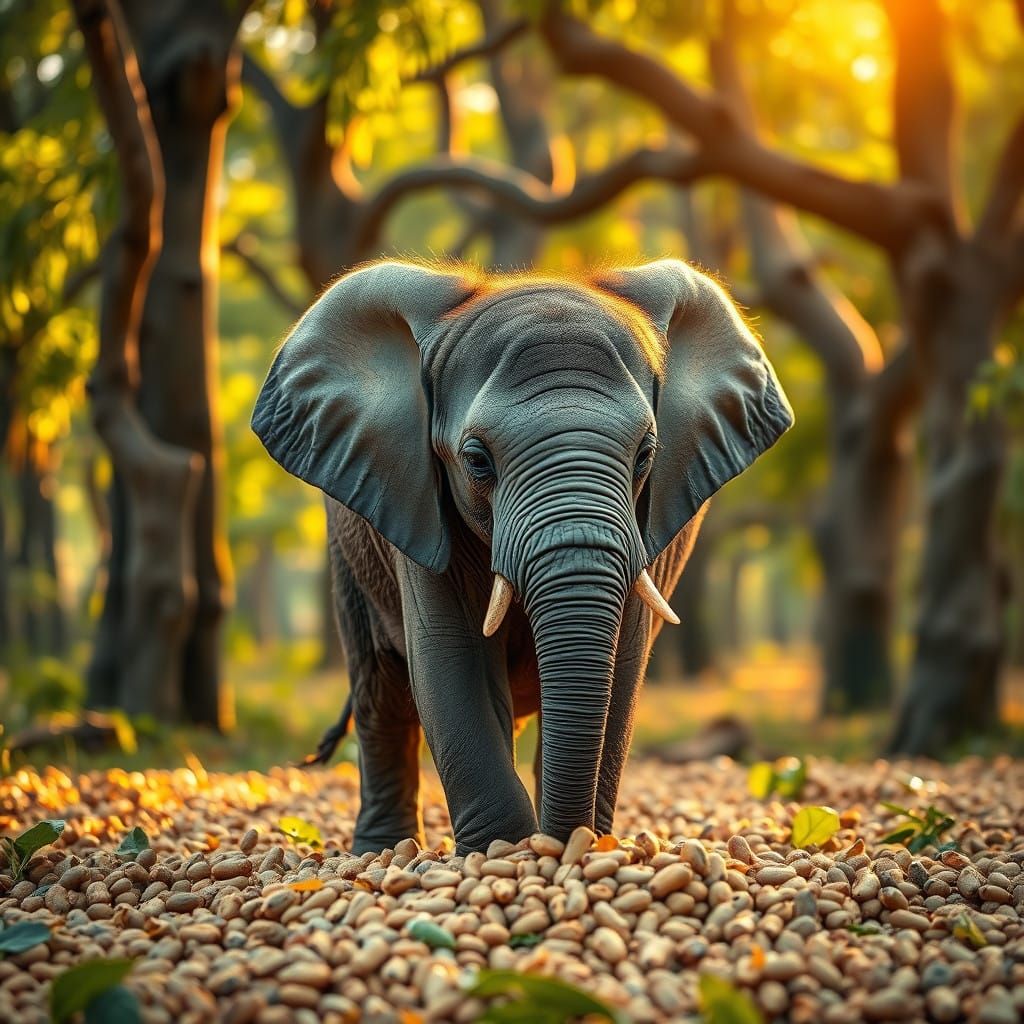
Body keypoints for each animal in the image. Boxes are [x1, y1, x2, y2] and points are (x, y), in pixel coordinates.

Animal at [251, 257, 792, 854]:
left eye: (647, 454)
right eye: (476, 460)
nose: (568, 841)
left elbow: (623, 666)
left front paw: (577, 847)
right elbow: (450, 657)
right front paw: (504, 851)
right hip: (350, 560)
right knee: (380, 694)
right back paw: (383, 852)